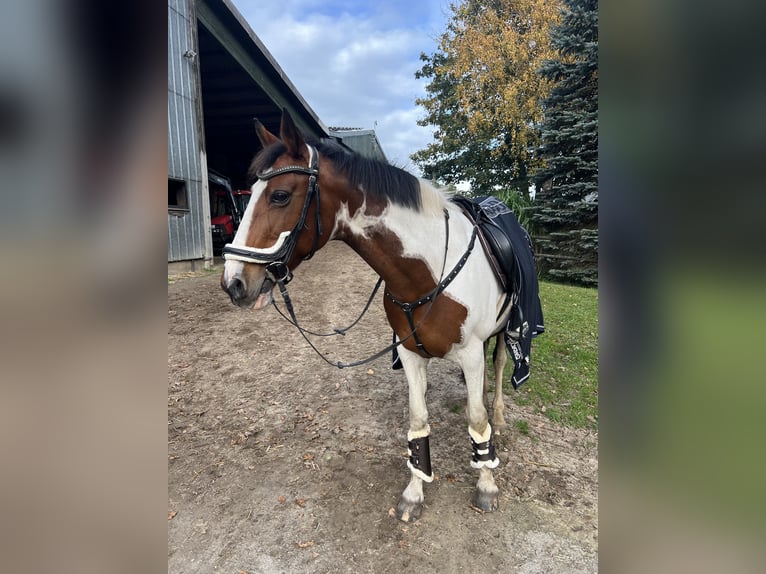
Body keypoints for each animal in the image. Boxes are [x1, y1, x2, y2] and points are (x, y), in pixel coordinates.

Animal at [221, 109, 515, 522]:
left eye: (280, 195)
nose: (233, 282)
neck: (428, 270)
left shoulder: (472, 353)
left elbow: (476, 417)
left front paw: (487, 485)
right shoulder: (410, 353)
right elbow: (418, 420)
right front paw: (414, 493)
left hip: (507, 328)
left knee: (501, 364)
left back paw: (499, 418)